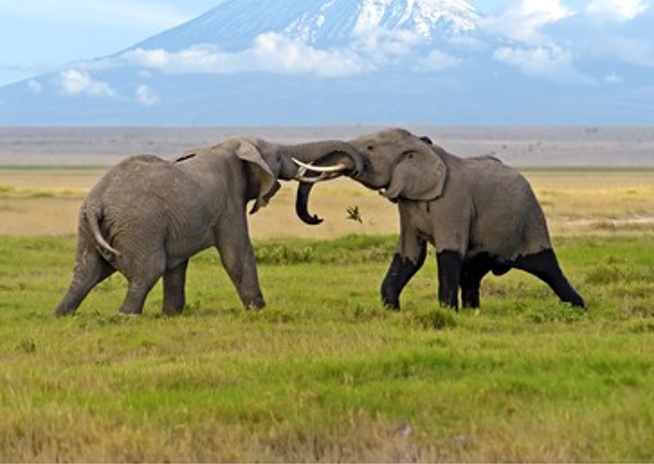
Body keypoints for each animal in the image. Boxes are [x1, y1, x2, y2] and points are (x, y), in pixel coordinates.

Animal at [55, 136, 363, 317]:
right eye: (277, 157)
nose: (317, 217)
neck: (230, 146)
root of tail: (96, 203)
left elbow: (177, 267)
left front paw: (172, 316)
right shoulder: (229, 203)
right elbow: (237, 256)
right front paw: (259, 312)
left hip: (90, 227)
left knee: (86, 273)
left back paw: (61, 315)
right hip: (138, 227)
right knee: (148, 270)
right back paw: (125, 317)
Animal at [295, 128, 585, 311]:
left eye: (369, 147)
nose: (316, 217)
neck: (421, 148)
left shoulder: (453, 202)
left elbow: (447, 254)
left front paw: (446, 312)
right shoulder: (407, 204)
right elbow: (410, 255)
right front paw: (391, 310)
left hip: (530, 220)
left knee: (548, 268)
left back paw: (579, 308)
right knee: (472, 273)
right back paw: (472, 312)